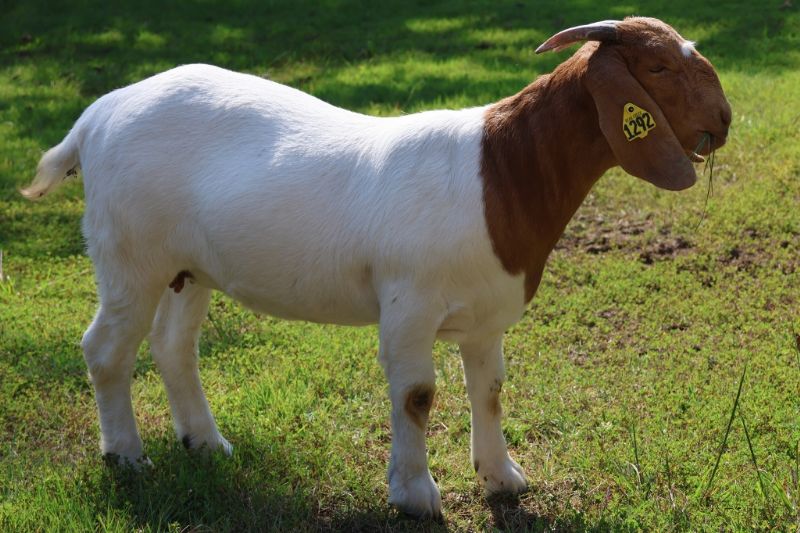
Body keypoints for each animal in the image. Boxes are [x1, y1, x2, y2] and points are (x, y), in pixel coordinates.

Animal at [21, 15, 732, 516]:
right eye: (658, 65)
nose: (724, 121)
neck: (498, 173)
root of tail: (97, 115)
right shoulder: (410, 304)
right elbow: (417, 394)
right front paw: (416, 495)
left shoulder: (485, 315)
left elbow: (490, 390)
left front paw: (503, 480)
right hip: (129, 254)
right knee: (106, 348)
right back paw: (127, 458)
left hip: (188, 266)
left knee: (174, 345)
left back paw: (207, 445)